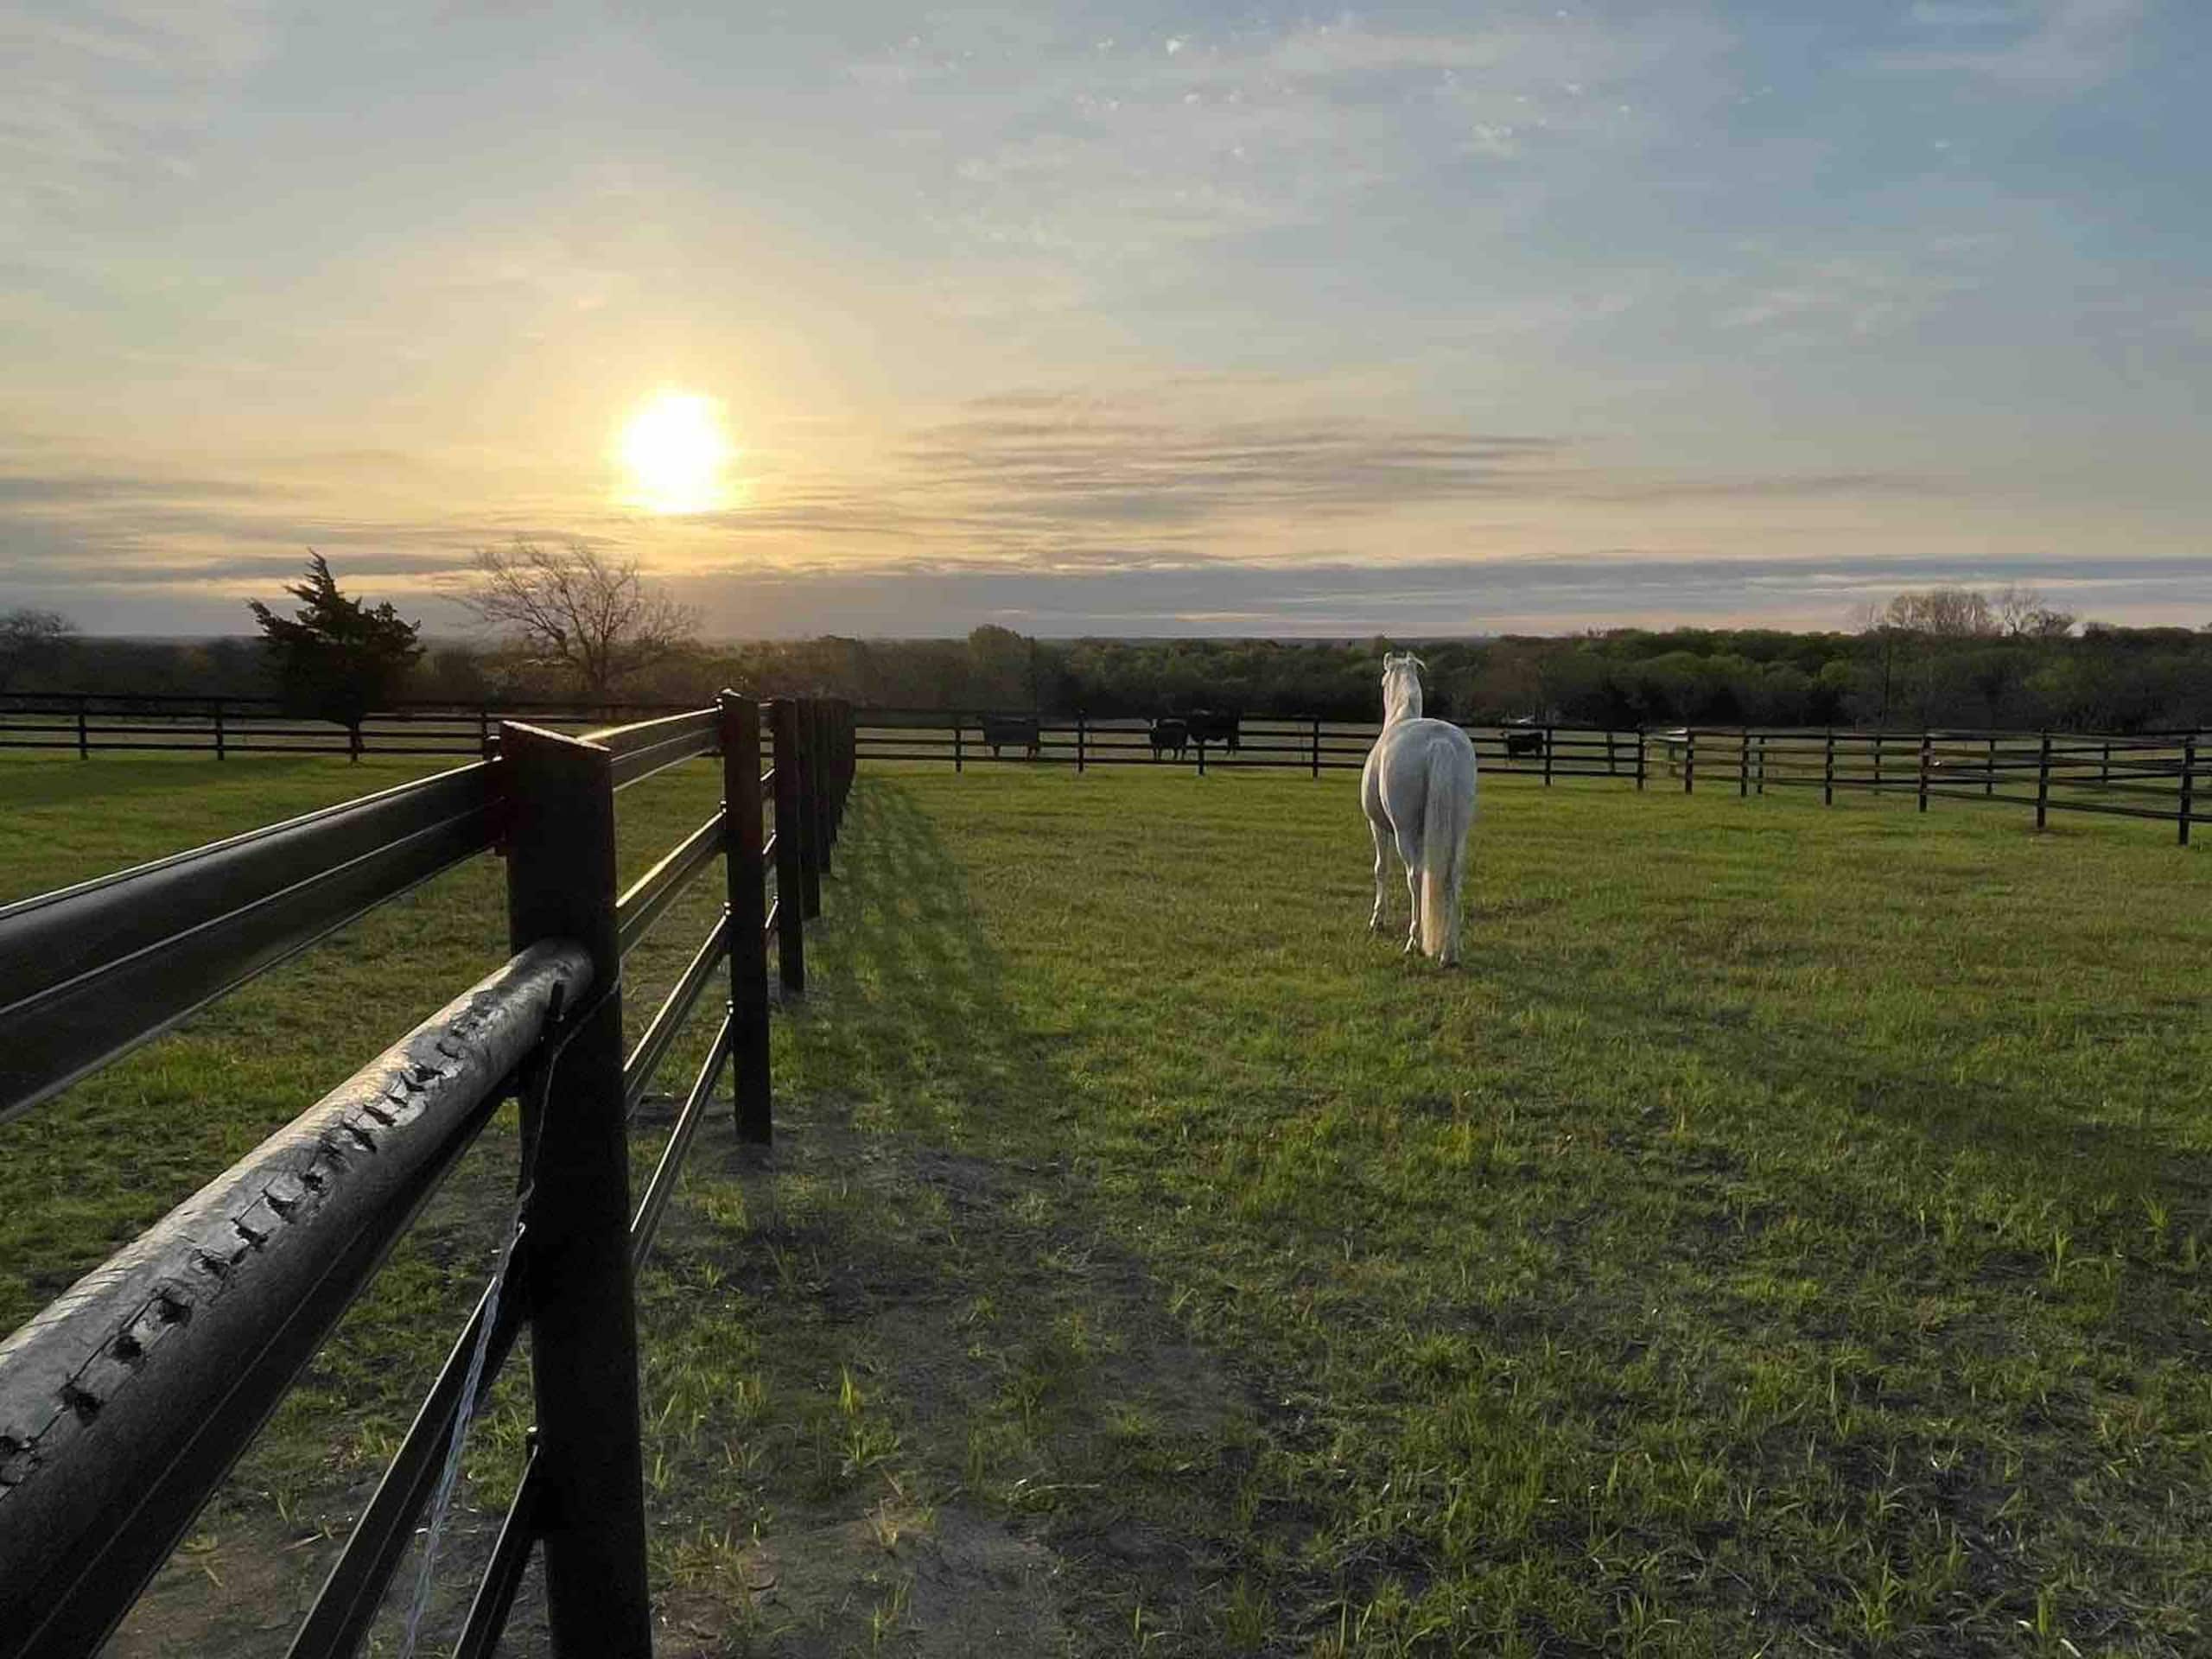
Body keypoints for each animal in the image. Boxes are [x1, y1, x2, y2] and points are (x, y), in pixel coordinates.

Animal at [1361, 653, 1479, 965]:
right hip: (1459, 830)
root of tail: (1440, 742)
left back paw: (1414, 940)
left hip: (1404, 832)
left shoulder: (1378, 826)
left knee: (1414, 875)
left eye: (1383, 681)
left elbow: (1381, 868)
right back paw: (1450, 952)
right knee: (1452, 878)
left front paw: (1377, 920)